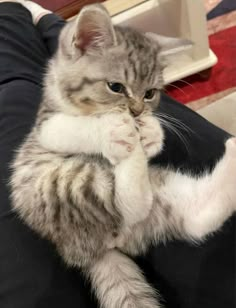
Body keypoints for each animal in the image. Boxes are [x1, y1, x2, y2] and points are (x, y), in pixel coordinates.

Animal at [10, 4, 236, 308]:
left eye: (150, 93)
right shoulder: (46, 126)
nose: (137, 112)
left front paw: (151, 133)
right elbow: (72, 127)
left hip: (160, 198)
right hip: (64, 187)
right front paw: (113, 130)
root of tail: (95, 250)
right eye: (116, 87)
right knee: (128, 203)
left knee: (195, 217)